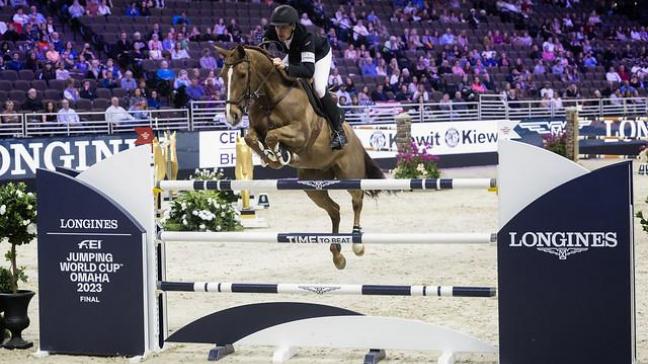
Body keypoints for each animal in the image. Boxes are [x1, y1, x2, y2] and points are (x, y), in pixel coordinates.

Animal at [213, 44, 384, 268]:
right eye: (222, 75)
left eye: (242, 74)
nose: (231, 116)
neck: (272, 98)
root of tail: (354, 136)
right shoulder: (256, 130)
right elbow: (251, 138)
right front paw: (270, 158)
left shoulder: (300, 133)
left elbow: (272, 136)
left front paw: (280, 155)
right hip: (312, 185)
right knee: (334, 209)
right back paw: (337, 255)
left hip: (350, 174)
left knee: (357, 200)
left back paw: (357, 244)